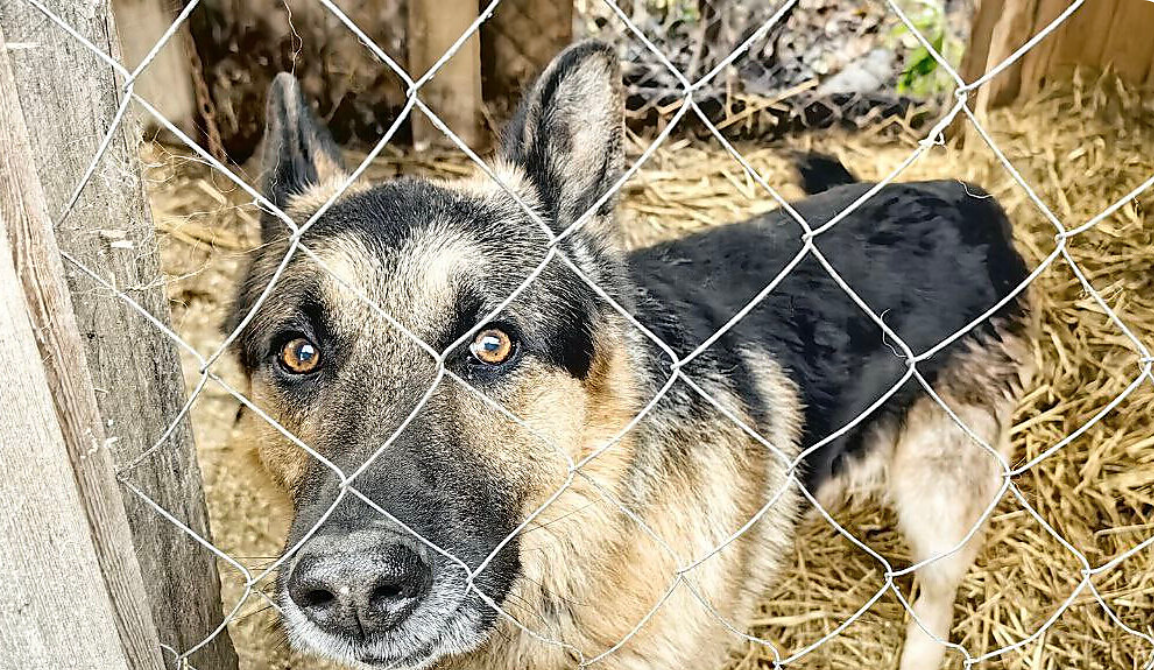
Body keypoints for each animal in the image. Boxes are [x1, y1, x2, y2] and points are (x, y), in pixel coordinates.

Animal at [227, 40, 1034, 670]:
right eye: (299, 354)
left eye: (492, 344)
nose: (353, 592)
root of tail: (966, 198)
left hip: (940, 497)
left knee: (939, 591)